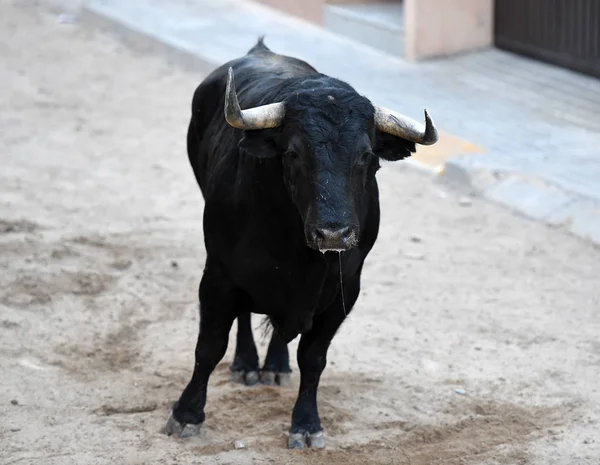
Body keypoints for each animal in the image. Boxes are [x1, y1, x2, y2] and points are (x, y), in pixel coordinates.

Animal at [166, 38, 438, 448]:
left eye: (366, 155)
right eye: (294, 153)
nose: (334, 234)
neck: (297, 253)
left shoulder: (344, 292)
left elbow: (313, 358)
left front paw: (306, 424)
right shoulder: (217, 278)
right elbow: (209, 348)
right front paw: (186, 415)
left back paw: (276, 365)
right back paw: (247, 364)